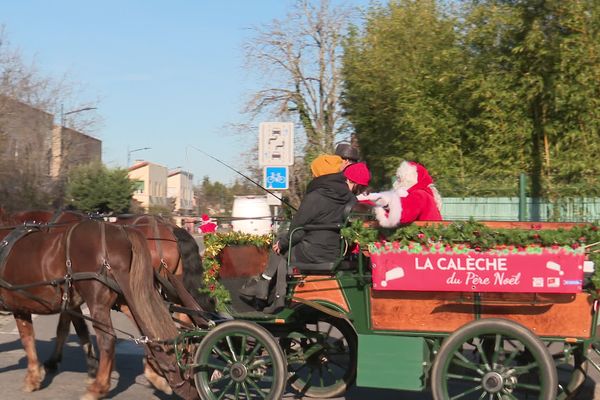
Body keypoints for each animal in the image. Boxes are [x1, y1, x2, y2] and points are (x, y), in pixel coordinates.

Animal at [0, 219, 195, 400]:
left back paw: (98, 388)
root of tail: (123, 232)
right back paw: (155, 373)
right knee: (148, 330)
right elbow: (75, 332)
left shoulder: (21, 307)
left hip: (98, 303)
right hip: (127, 298)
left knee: (109, 339)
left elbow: (28, 340)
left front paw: (33, 377)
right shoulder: (70, 305)